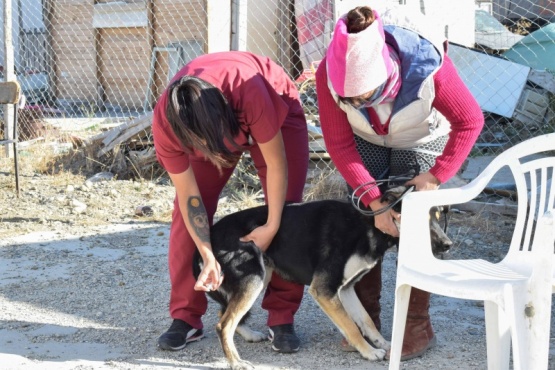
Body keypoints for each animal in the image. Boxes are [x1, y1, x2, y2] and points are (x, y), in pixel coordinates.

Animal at [195, 186, 452, 370]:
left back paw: (248, 336)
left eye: (438, 215)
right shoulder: (324, 290)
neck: (368, 225)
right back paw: (236, 362)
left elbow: (365, 320)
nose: (448, 244)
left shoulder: (345, 289)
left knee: (224, 314)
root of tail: (210, 236)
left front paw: (383, 344)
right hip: (254, 279)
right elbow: (351, 326)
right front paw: (369, 352)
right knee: (223, 324)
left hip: (261, 276)